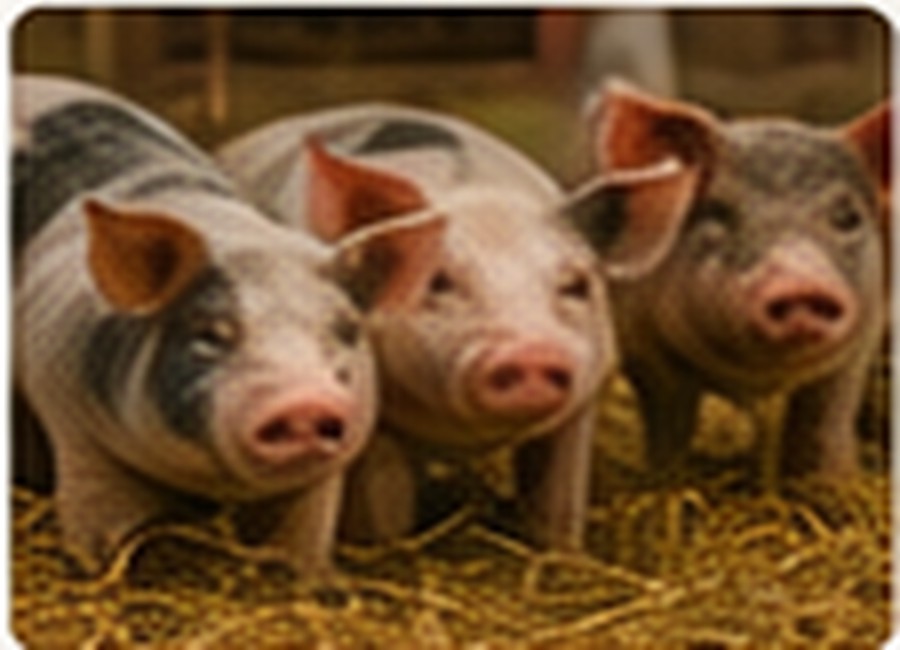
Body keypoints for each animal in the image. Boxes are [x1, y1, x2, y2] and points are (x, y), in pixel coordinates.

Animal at [13, 76, 445, 571]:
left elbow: (302, 544)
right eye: (210, 333)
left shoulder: (321, 483)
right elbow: (104, 528)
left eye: (346, 330)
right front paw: (103, 567)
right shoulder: (73, 424)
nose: (305, 401)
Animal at [217, 104, 684, 550]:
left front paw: (563, 554)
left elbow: (558, 504)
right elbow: (384, 514)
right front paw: (388, 548)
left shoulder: (583, 403)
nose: (530, 351)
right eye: (438, 281)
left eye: (576, 285)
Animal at [566, 80, 889, 480]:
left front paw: (835, 482)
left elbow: (824, 416)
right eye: (717, 212)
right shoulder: (644, 346)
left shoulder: (861, 340)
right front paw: (665, 480)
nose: (799, 281)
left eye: (847, 216)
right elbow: (670, 420)